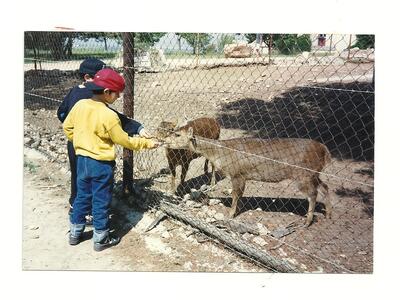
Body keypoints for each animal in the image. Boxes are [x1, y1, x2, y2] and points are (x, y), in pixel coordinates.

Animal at [163, 127, 334, 227]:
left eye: (177, 134)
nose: (164, 140)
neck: (221, 155)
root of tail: (325, 152)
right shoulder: (242, 175)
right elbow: (240, 195)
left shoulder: (237, 173)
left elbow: (235, 194)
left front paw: (230, 215)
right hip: (313, 174)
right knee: (325, 187)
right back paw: (328, 214)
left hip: (303, 174)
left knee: (313, 194)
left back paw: (307, 221)